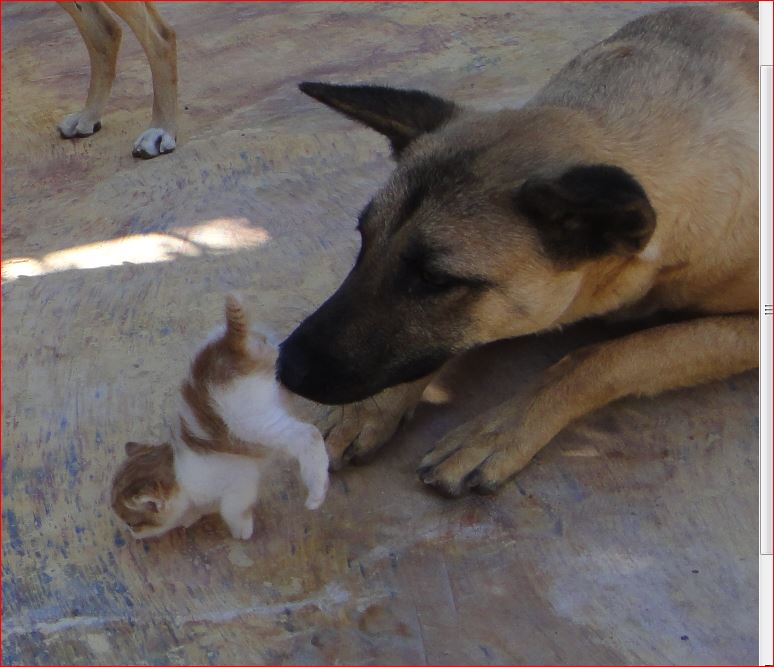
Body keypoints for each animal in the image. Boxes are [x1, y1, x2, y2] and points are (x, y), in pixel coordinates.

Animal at [110, 298, 328, 544]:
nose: (130, 534)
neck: (180, 474)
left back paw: (316, 491)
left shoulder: (241, 480)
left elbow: (231, 508)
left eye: (133, 524)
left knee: (309, 434)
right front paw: (193, 517)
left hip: (248, 423)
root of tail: (230, 342)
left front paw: (241, 529)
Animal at [276, 3, 760, 496]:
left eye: (434, 279)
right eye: (364, 240)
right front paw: (369, 410)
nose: (285, 369)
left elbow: (606, 355)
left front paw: (497, 431)